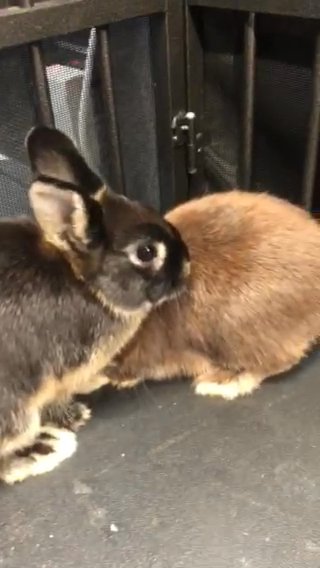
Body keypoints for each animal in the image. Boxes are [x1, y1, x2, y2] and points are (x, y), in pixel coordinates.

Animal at [0, 126, 190, 482]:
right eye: (146, 252)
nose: (187, 266)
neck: (88, 287)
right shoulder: (58, 374)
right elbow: (58, 398)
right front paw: (75, 415)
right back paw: (41, 450)